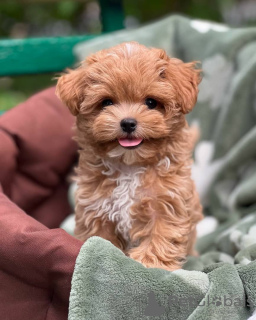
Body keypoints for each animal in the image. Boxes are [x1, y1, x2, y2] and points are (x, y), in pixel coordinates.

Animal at [55, 40, 202, 270]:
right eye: (107, 102)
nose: (128, 123)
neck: (130, 165)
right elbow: (100, 240)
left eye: (151, 102)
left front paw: (150, 262)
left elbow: (161, 233)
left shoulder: (167, 202)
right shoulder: (96, 208)